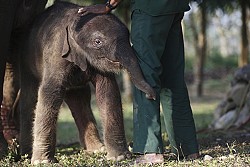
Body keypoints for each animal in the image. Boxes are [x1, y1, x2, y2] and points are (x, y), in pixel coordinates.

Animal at [19, 0, 156, 164]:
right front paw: (43, 162)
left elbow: (108, 91)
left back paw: (97, 149)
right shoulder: (56, 53)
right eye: (97, 42)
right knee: (30, 97)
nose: (151, 96)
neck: (74, 21)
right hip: (26, 62)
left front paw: (119, 157)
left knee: (80, 98)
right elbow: (50, 92)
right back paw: (26, 153)